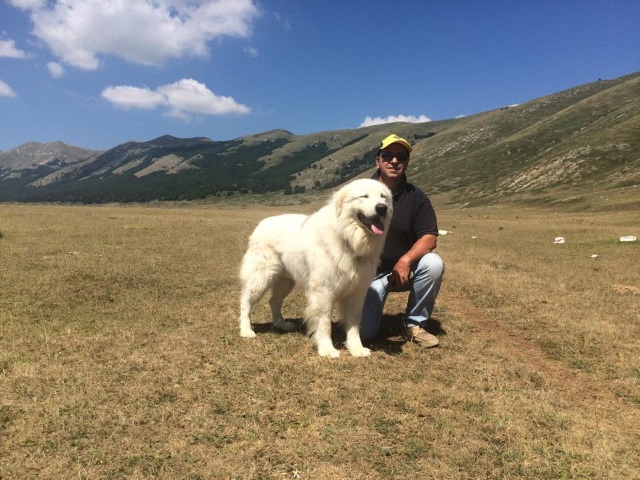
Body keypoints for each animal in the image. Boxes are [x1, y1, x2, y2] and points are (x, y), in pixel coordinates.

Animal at [238, 179, 392, 356]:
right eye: (364, 196)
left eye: (383, 197)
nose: (382, 208)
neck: (347, 238)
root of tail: (261, 224)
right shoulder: (323, 292)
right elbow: (324, 323)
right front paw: (327, 349)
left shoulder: (357, 292)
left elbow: (354, 324)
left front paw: (356, 349)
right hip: (261, 277)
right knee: (245, 301)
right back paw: (246, 330)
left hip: (285, 282)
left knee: (274, 301)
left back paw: (281, 324)